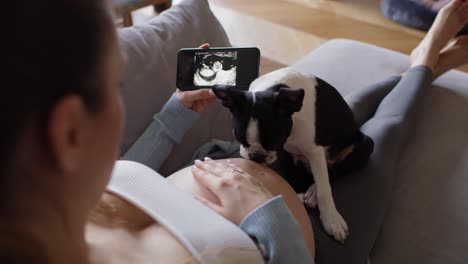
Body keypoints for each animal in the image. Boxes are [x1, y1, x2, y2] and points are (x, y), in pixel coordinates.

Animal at [213, 67, 372, 242]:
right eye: (239, 138)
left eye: (275, 142)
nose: (256, 156)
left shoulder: (315, 151)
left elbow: (324, 188)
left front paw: (331, 219)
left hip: (365, 145)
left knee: (333, 172)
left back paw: (312, 193)